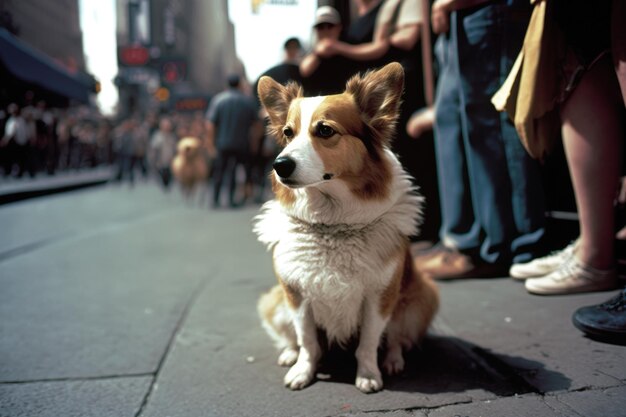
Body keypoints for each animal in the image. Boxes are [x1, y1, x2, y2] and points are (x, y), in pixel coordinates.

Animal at [251, 63, 436, 392]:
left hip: (420, 299)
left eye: (325, 130)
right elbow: (308, 341)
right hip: (274, 302)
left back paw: (393, 361)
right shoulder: (296, 295)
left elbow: (369, 342)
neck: (332, 223)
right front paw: (303, 371)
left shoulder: (379, 296)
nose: (279, 165)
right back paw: (289, 354)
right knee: (292, 339)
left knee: (396, 339)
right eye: (287, 133)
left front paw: (368, 375)